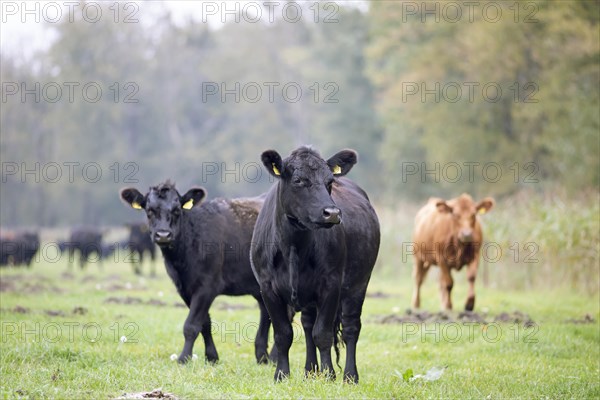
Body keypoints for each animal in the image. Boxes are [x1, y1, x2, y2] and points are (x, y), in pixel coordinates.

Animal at [119, 183, 272, 364]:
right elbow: (204, 323)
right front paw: (211, 357)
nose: (163, 235)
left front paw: (183, 358)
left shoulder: (207, 286)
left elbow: (191, 325)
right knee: (267, 313)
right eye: (149, 210)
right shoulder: (185, 288)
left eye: (177, 210)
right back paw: (264, 356)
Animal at [252, 147, 380, 384]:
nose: (332, 213)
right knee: (308, 324)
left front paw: (329, 375)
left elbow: (323, 334)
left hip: (359, 283)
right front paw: (281, 374)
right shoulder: (267, 288)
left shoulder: (331, 285)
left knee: (350, 328)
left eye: (329, 181)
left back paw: (350, 375)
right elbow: (283, 334)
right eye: (298, 180)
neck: (295, 246)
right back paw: (310, 371)